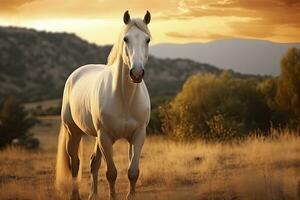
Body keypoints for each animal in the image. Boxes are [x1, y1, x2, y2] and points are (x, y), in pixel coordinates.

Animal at [55, 10, 151, 200]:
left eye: (147, 40)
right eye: (126, 39)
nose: (136, 73)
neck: (124, 98)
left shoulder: (138, 135)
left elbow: (133, 172)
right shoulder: (105, 137)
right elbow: (111, 173)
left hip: (96, 137)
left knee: (94, 162)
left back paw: (93, 195)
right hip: (74, 132)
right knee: (75, 163)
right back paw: (75, 195)